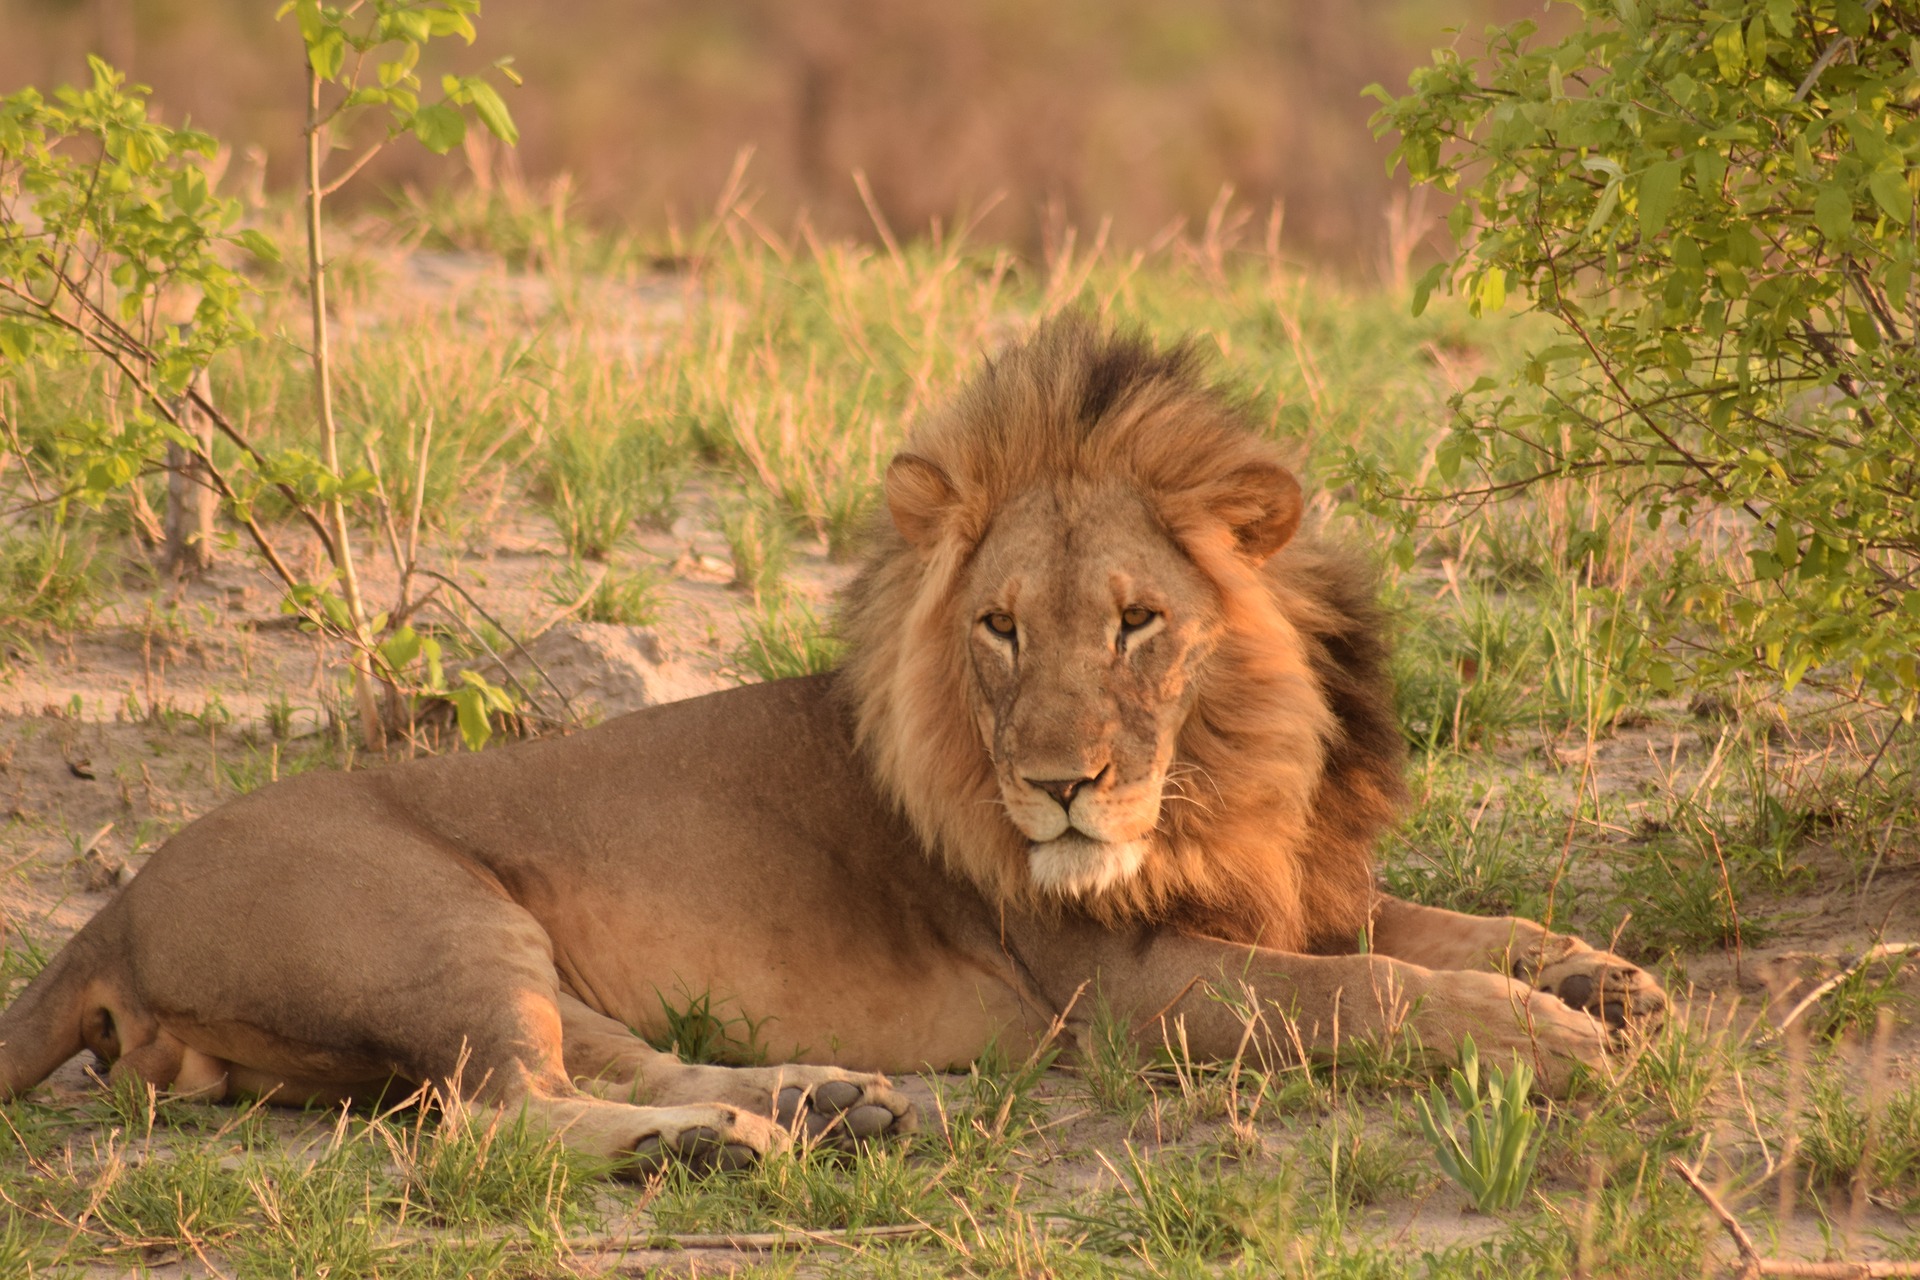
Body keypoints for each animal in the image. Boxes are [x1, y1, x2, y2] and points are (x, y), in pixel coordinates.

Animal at [0, 317, 1665, 1173]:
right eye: (999, 628)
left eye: (1137, 622)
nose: (1060, 790)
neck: (1228, 769)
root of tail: (110, 909)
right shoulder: (1124, 988)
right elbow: (1371, 988)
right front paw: (1548, 1043)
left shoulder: (1298, 889)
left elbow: (1440, 924)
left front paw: (1604, 979)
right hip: (430, 922)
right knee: (492, 1120)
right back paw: (709, 1152)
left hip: (499, 954)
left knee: (598, 1059)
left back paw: (825, 1104)